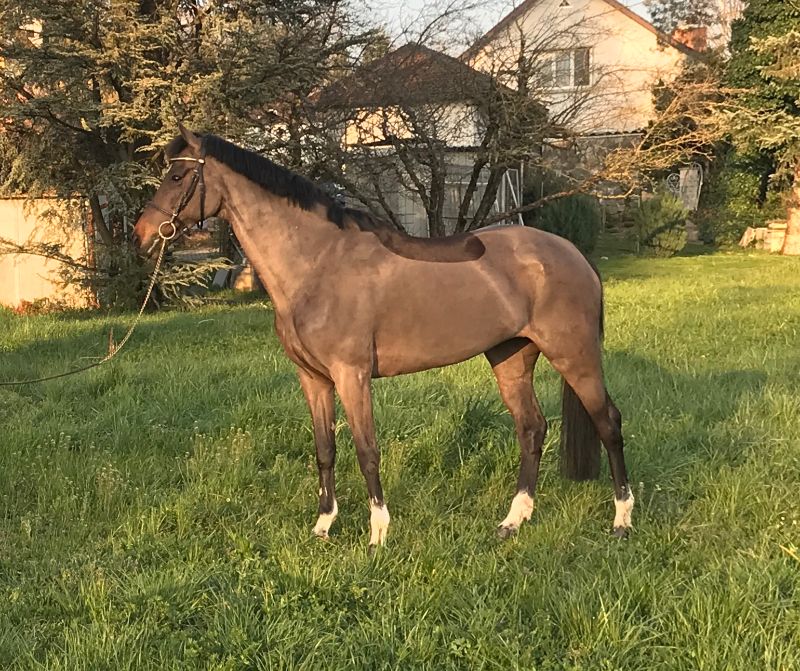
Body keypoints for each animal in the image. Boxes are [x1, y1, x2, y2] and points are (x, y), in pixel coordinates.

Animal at [132, 125, 633, 549]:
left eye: (177, 175)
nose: (142, 235)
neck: (316, 263)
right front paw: (323, 526)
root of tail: (573, 254)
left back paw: (622, 520)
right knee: (531, 428)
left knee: (608, 422)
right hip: (510, 358)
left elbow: (366, 450)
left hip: (575, 355)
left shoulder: (352, 376)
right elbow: (325, 449)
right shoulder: (313, 380)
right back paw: (514, 520)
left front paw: (377, 533)